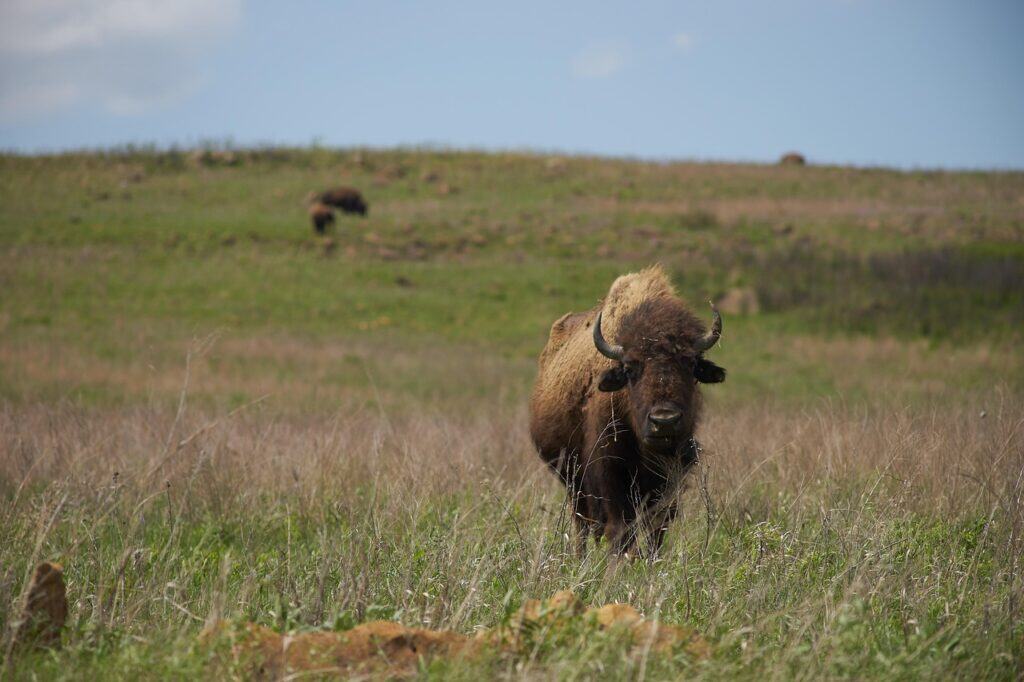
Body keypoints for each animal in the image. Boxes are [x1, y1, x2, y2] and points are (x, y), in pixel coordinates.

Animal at [529, 265, 726, 556]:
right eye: (631, 368)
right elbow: (620, 528)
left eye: (690, 363)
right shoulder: (611, 475)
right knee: (583, 524)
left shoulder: (671, 478)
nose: (664, 421)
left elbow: (657, 529)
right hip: (572, 480)